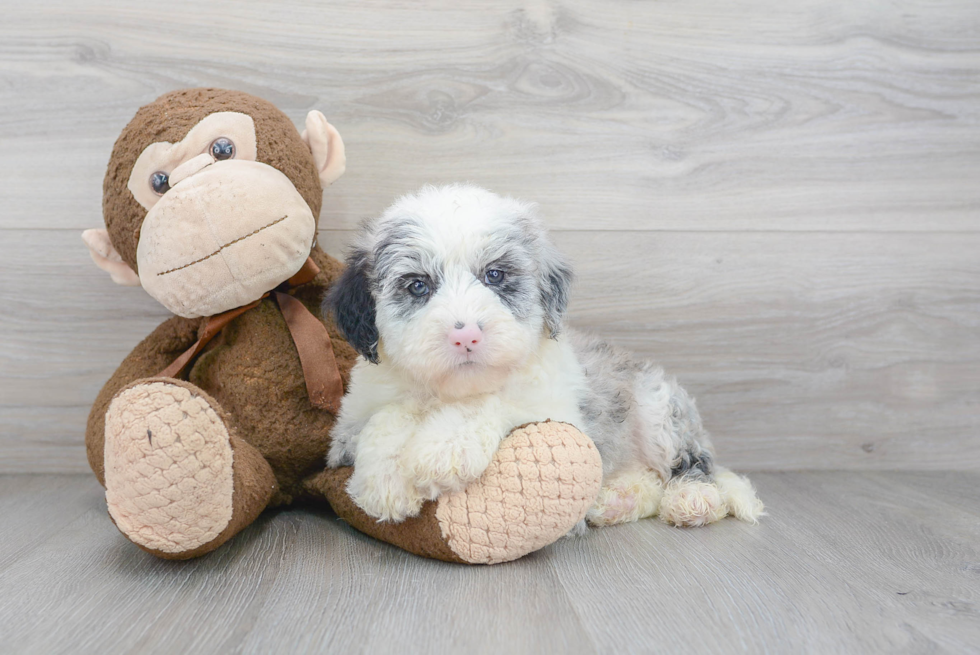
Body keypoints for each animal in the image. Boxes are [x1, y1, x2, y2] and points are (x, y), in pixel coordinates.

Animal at [326, 183, 760, 528]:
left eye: (495, 275)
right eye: (418, 285)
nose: (466, 336)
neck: (447, 393)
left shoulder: (556, 412)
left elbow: (495, 400)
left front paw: (444, 448)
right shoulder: (351, 422)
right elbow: (387, 417)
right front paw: (384, 483)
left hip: (660, 409)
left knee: (692, 463)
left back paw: (693, 499)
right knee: (647, 480)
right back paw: (616, 502)